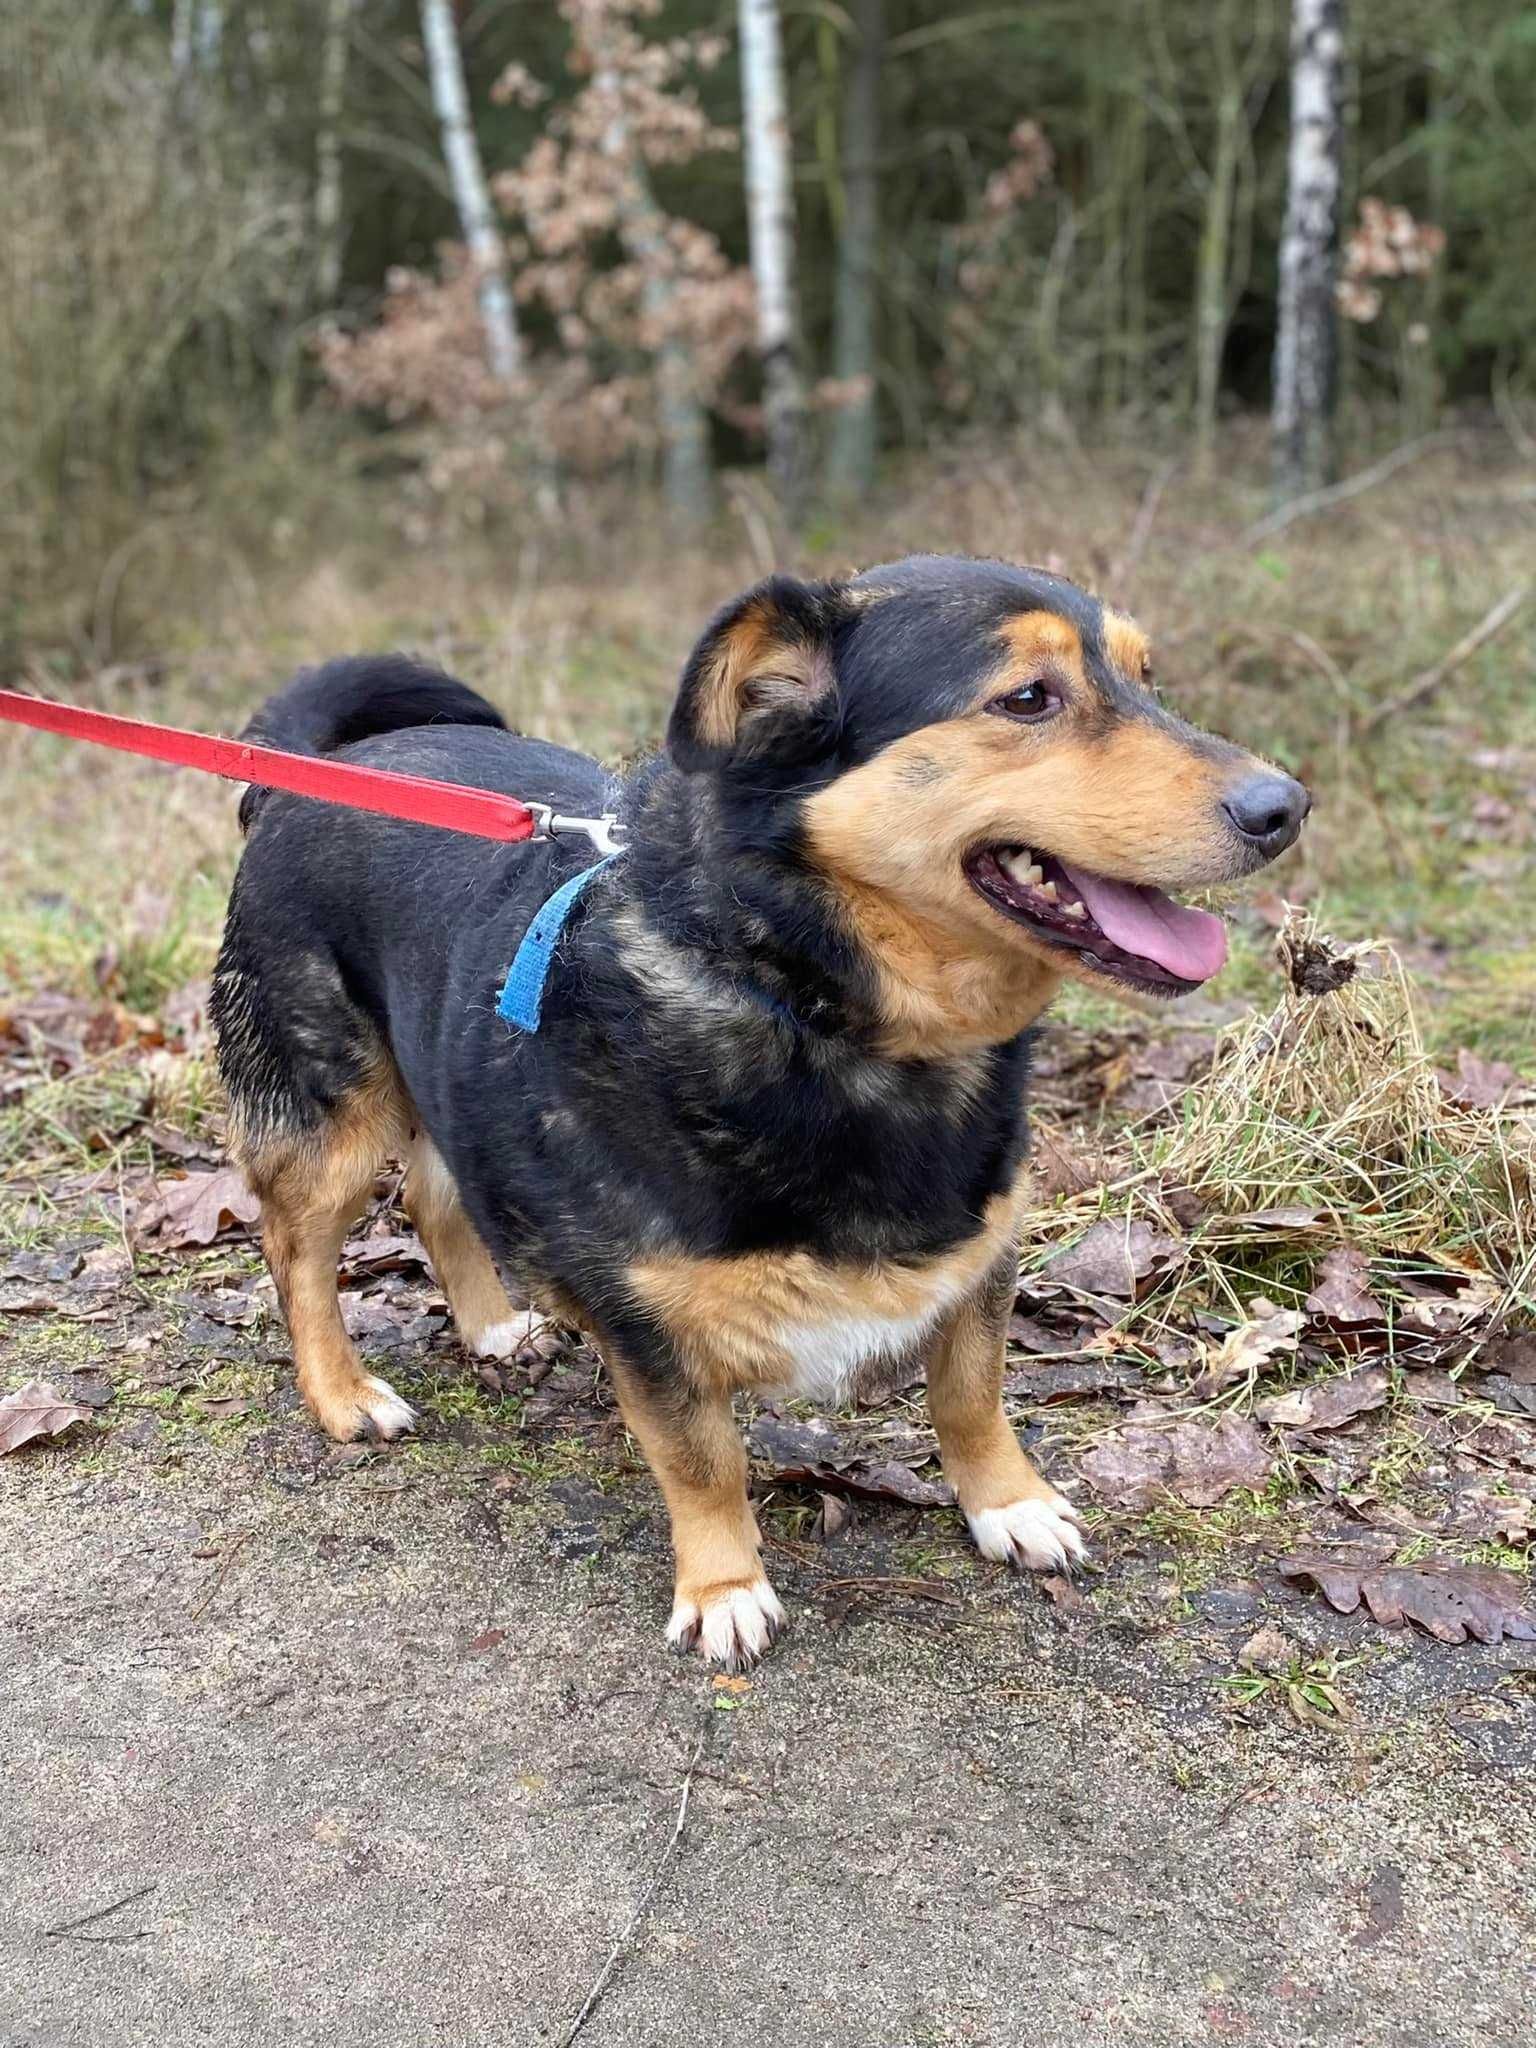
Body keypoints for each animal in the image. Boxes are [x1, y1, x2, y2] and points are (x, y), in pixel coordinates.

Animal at [207, 557, 1310, 1662]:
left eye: (1146, 677)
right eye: (1029, 697)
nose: (1287, 805)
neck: (819, 1011)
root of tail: (316, 762)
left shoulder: (984, 1252)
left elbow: (971, 1396)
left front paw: (1009, 1501)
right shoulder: (645, 1324)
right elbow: (704, 1460)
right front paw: (724, 1584)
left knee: (437, 1194)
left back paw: (488, 1323)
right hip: (330, 1112)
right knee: (297, 1250)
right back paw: (343, 1394)